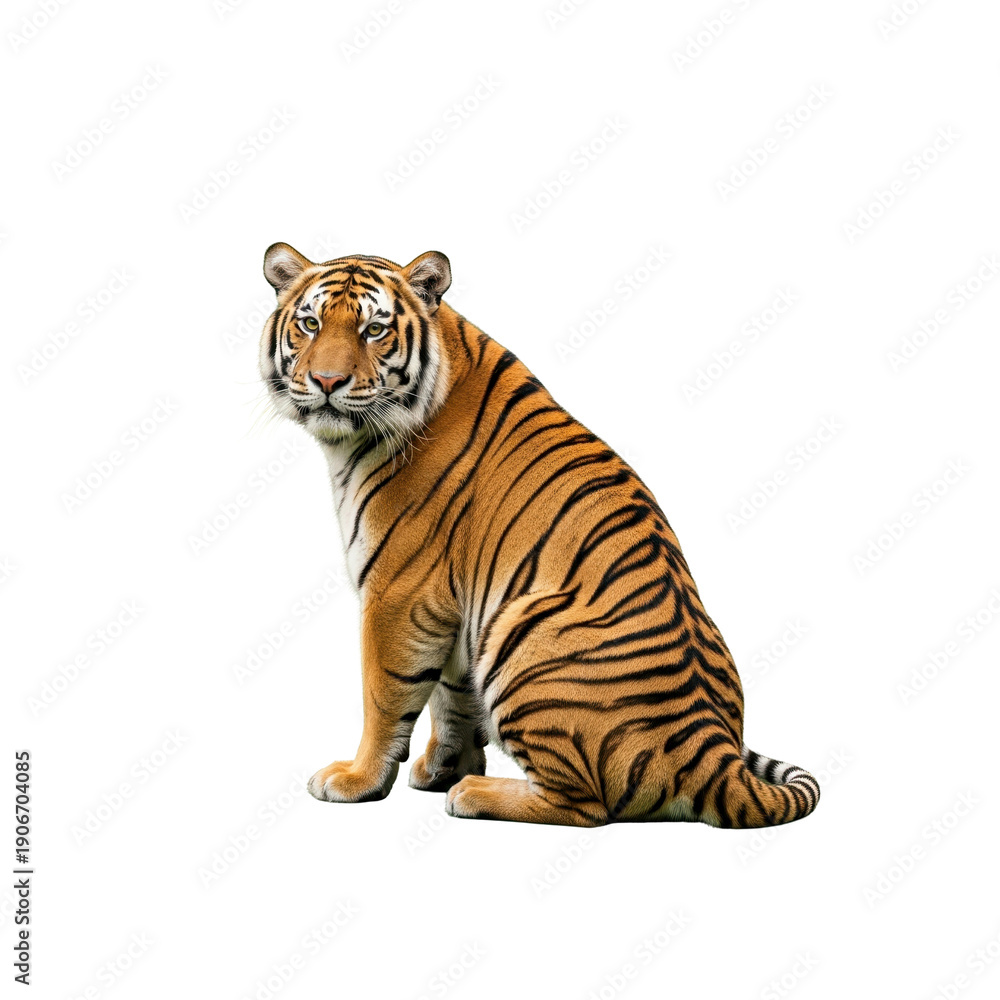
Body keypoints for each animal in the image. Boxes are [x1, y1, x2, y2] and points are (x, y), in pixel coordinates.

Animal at [258, 242, 820, 828]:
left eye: (373, 330)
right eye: (310, 323)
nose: (326, 381)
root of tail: (716, 755)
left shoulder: (399, 591)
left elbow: (384, 694)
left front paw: (358, 779)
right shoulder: (455, 606)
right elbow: (452, 696)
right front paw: (442, 768)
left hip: (523, 629)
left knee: (586, 807)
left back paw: (477, 794)